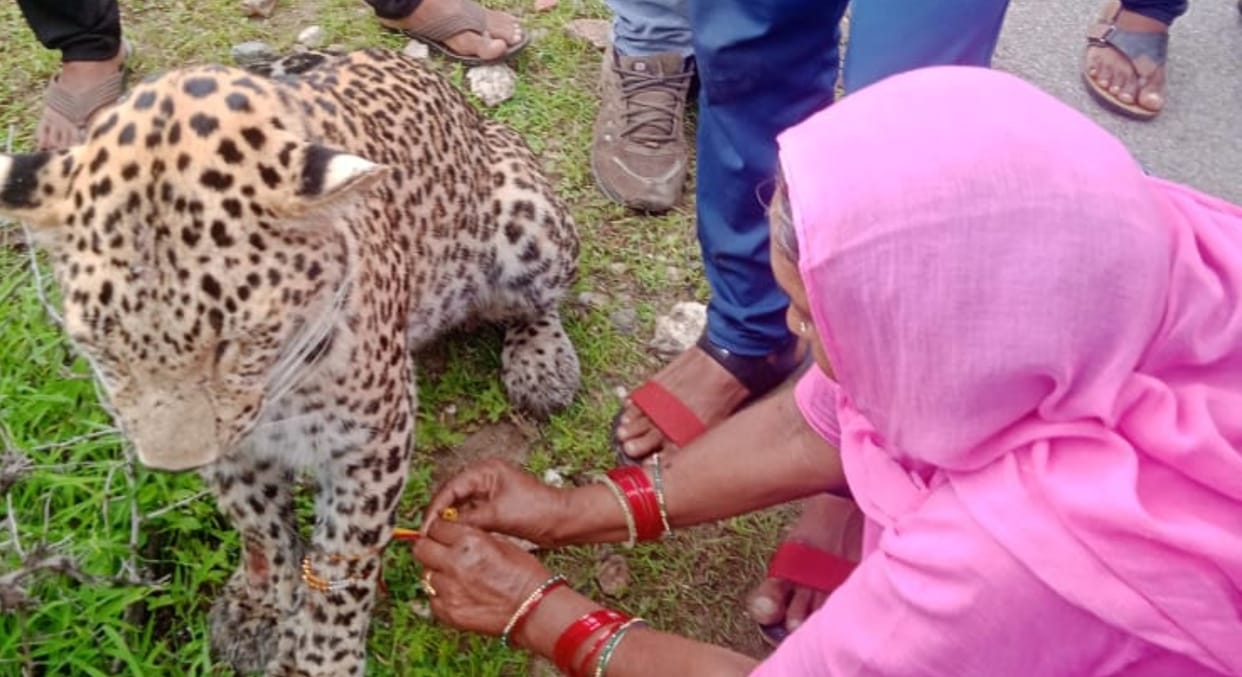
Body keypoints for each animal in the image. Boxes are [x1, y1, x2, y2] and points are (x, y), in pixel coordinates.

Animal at [0, 48, 580, 675]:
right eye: (104, 348)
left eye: (235, 342)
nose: (172, 465)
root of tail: (469, 113)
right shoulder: (236, 447)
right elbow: (260, 526)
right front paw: (261, 608)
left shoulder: (372, 439)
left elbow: (344, 558)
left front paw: (322, 656)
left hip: (529, 221)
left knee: (538, 301)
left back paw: (543, 363)